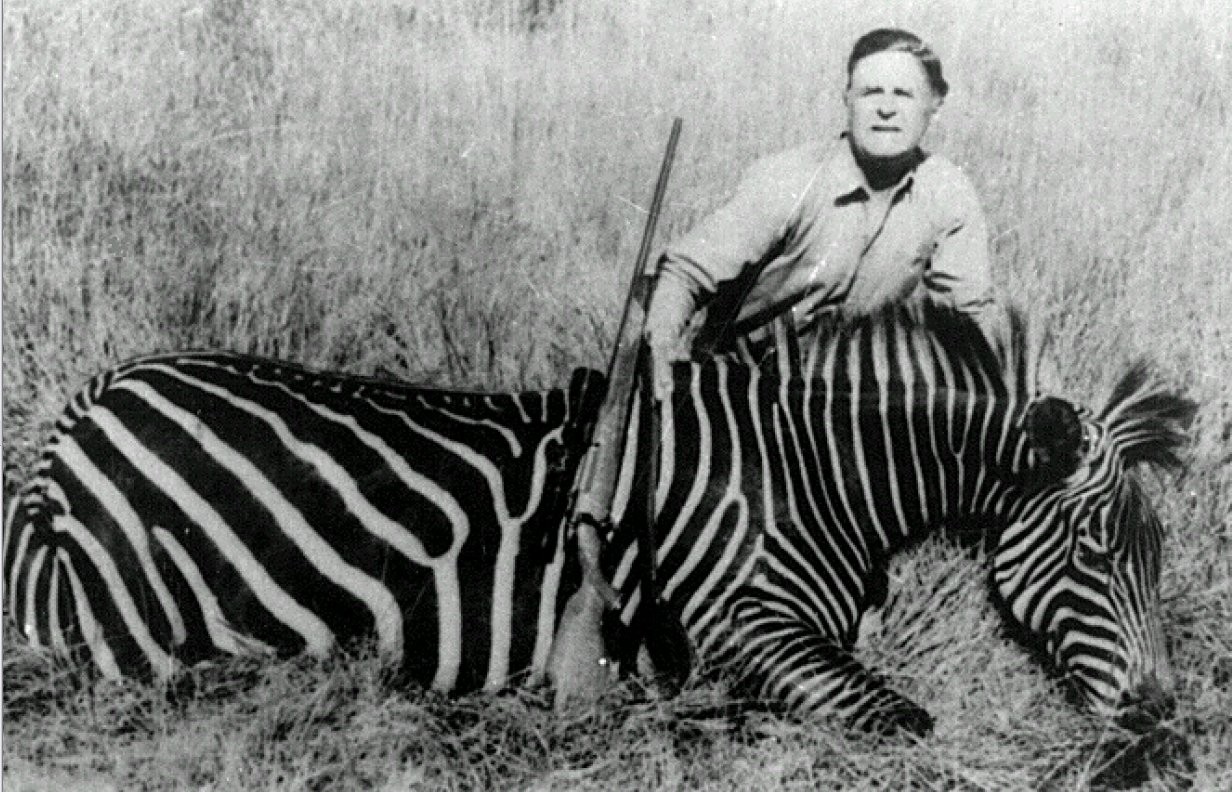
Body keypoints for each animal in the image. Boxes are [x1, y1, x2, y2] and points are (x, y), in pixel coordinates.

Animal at [2, 305, 1193, 740]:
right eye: (1099, 550)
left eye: (1155, 555)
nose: (1157, 713)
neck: (813, 473)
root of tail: (84, 406)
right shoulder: (749, 625)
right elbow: (902, 718)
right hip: (157, 633)